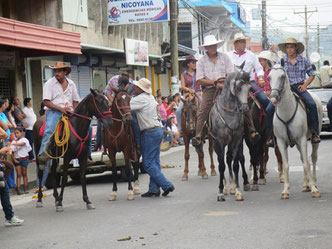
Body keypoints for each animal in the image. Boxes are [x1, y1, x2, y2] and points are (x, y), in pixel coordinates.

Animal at [210, 65, 252, 201]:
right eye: (238, 87)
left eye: (249, 87)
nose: (245, 109)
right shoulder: (219, 142)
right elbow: (221, 166)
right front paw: (220, 192)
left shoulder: (237, 140)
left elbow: (235, 164)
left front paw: (238, 191)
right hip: (215, 143)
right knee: (221, 162)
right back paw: (224, 187)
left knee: (229, 159)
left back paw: (232, 187)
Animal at [270, 63, 322, 199]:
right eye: (269, 77)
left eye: (282, 76)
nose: (273, 98)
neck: (286, 112)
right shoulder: (281, 142)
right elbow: (286, 166)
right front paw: (285, 191)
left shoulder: (302, 139)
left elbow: (307, 164)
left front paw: (314, 189)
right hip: (298, 144)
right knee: (303, 159)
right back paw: (305, 185)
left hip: (314, 138)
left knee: (312, 158)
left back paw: (314, 182)